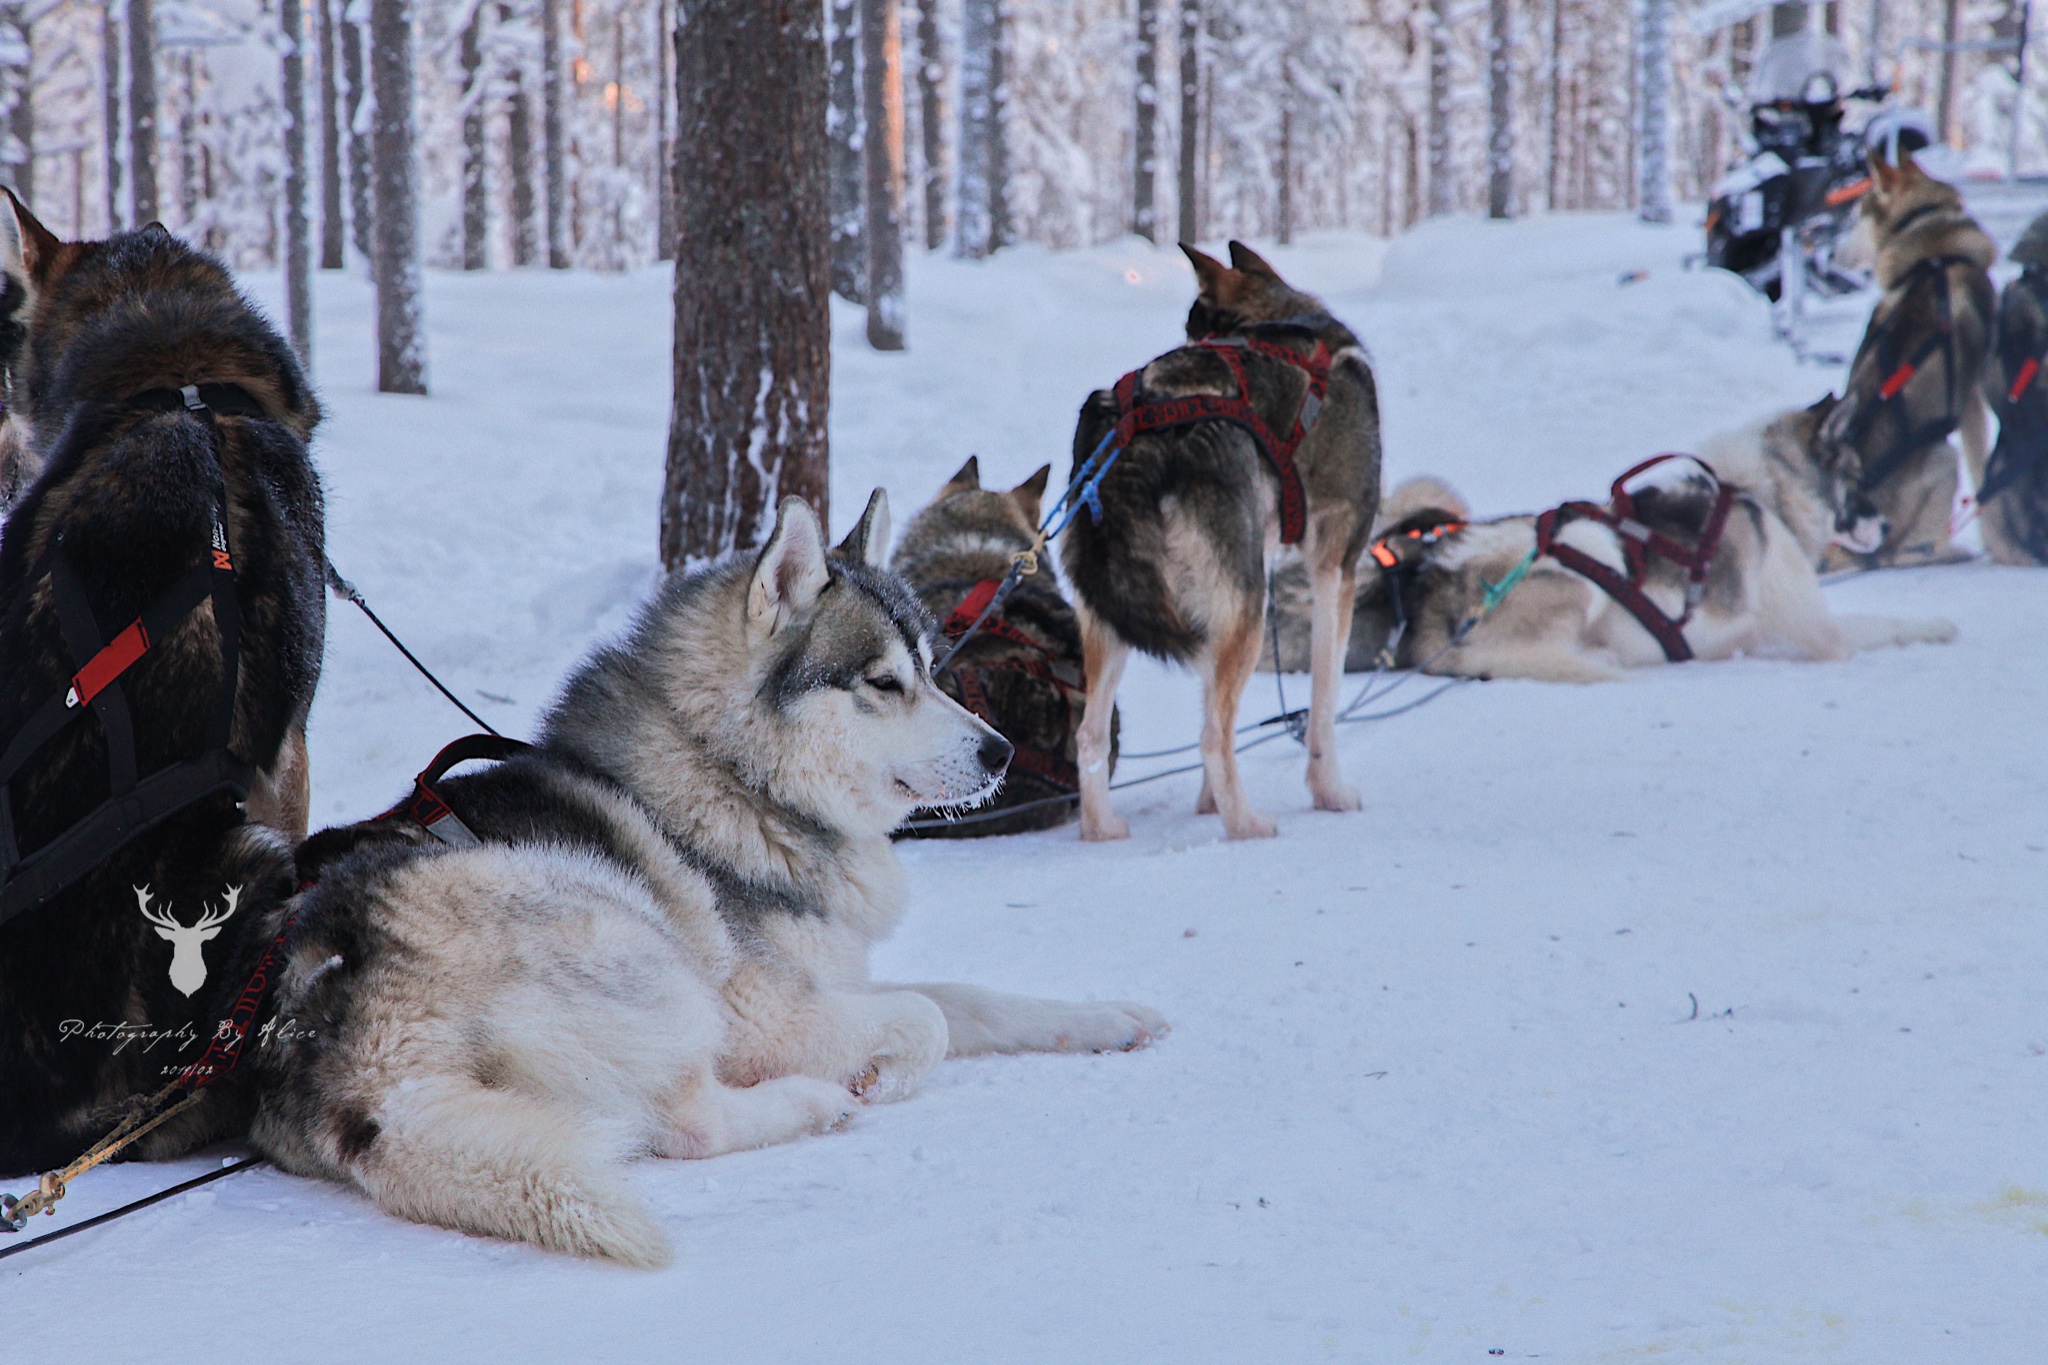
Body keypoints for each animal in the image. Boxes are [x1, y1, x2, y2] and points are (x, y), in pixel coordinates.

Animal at [251, 497, 1171, 1268]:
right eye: (884, 681)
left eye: (935, 667)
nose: (1001, 751)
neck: (735, 775)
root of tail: (348, 1051)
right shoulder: (763, 1011)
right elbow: (929, 1017)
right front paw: (879, 1073)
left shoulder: (830, 975)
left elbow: (973, 997)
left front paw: (1105, 1019)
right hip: (639, 950)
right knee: (684, 1122)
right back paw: (812, 1103)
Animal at [1064, 242, 1384, 843]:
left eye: (1194, 329)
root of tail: (1139, 434)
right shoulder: (1336, 568)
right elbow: (1323, 706)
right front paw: (1329, 793)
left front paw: (1208, 801)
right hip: (1248, 610)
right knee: (1214, 735)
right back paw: (1248, 825)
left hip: (1112, 612)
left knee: (1092, 734)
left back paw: (1103, 828)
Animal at [1261, 401, 1949, 687]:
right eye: (1856, 476)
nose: (1886, 527)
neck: (1762, 491)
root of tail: (1428, 575)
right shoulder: (1818, 635)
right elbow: (1875, 627)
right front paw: (1938, 629)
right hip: (1586, 556)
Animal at [1818, 148, 1990, 573]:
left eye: (1854, 217)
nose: (1829, 253)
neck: (1935, 255)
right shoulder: (1974, 393)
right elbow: (1983, 467)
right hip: (1943, 455)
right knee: (1897, 555)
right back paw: (1950, 551)